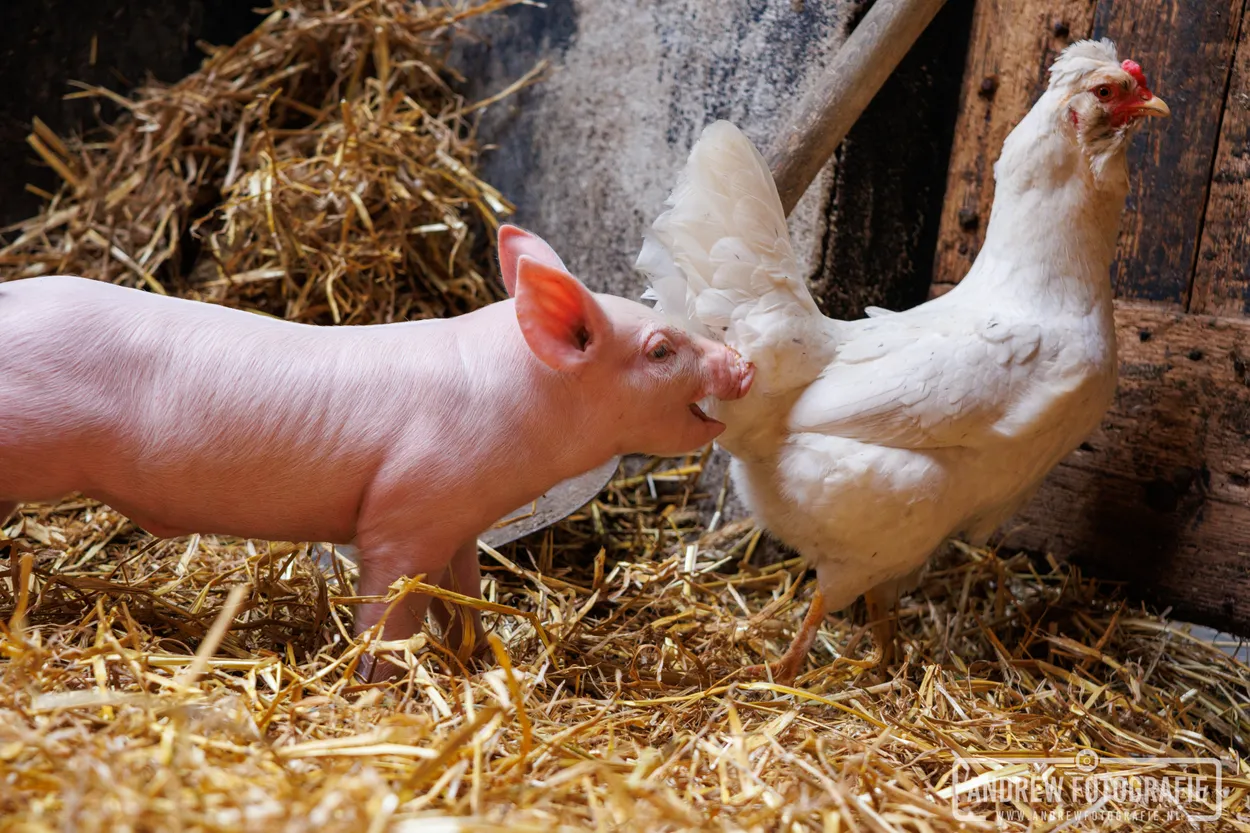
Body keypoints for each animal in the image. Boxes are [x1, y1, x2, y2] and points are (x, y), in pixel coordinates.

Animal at [0, 225, 753, 675]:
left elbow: (462, 593)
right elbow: (389, 610)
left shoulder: (458, 523)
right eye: (661, 350)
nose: (743, 364)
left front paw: (477, 656)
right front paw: (379, 681)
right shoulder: (406, 509)